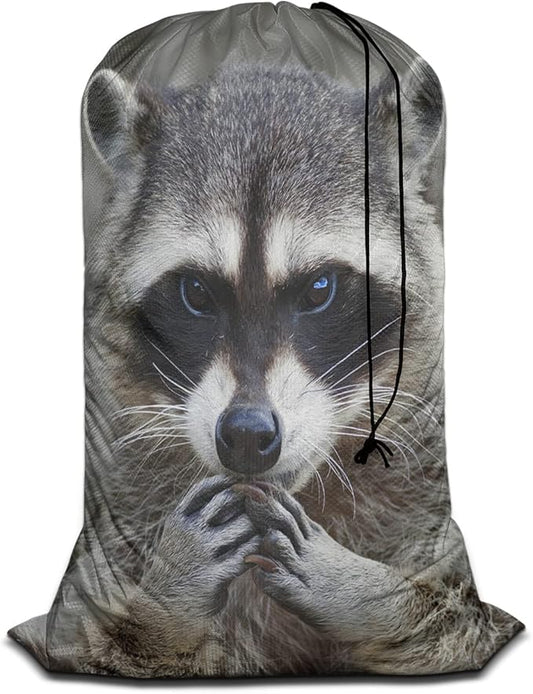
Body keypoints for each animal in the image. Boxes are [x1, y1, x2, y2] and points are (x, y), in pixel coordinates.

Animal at [13, 62, 521, 677]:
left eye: (320, 288)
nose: (247, 434)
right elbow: (107, 638)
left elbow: (443, 619)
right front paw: (166, 598)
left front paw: (366, 593)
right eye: (196, 292)